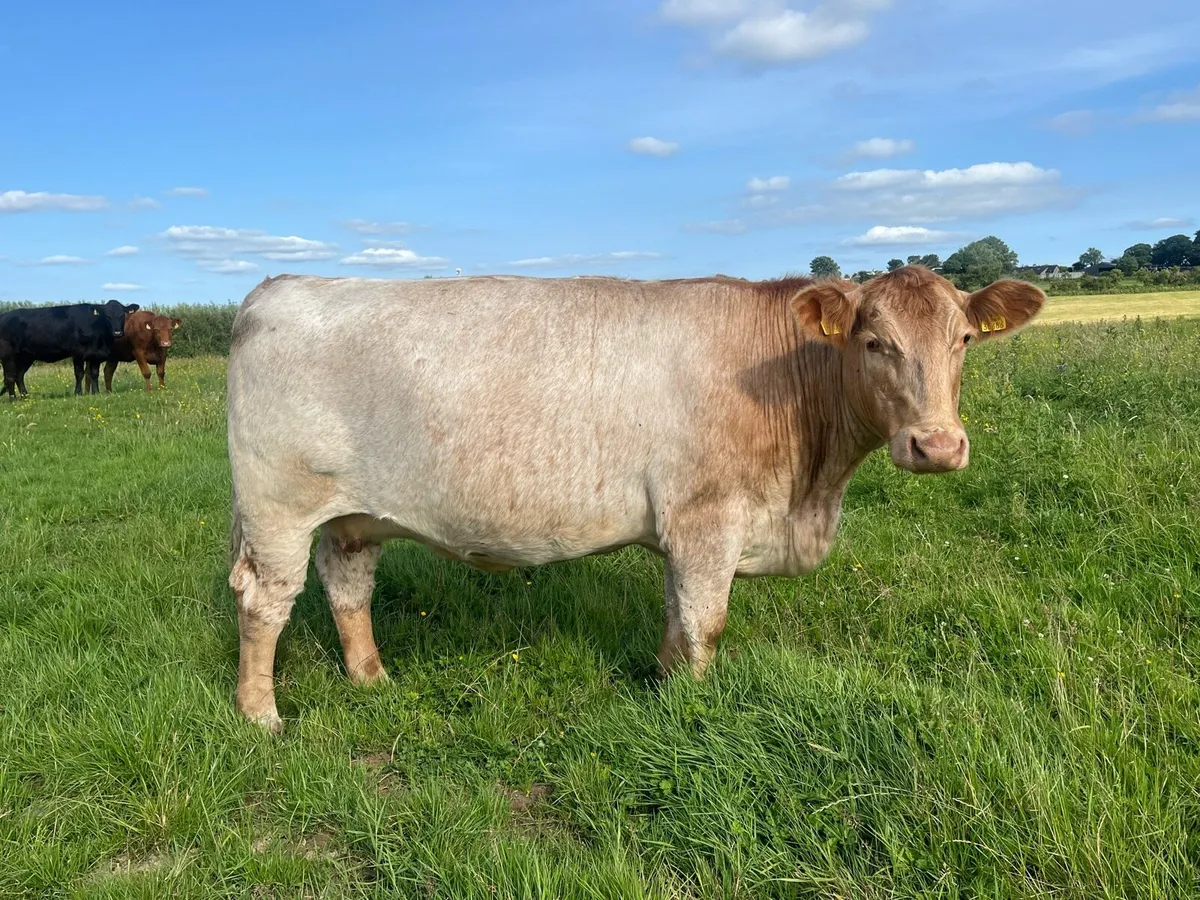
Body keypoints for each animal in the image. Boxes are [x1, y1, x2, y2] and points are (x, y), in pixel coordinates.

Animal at [0, 300, 140, 399]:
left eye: (122, 315)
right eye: (107, 316)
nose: (117, 332)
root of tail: (4, 316)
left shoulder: (96, 355)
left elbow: (94, 374)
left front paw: (96, 392)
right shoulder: (77, 353)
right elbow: (79, 373)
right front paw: (78, 393)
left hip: (26, 357)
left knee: (19, 376)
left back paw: (25, 397)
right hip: (8, 355)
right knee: (10, 377)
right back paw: (13, 398)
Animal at [226, 267, 1044, 732]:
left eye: (965, 339)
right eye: (874, 342)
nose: (937, 445)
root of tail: (280, 285)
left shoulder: (686, 532)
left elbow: (678, 617)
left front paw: (665, 684)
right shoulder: (709, 520)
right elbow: (707, 621)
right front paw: (696, 708)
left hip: (350, 515)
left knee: (347, 585)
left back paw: (371, 678)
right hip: (278, 508)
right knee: (266, 604)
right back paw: (261, 715)